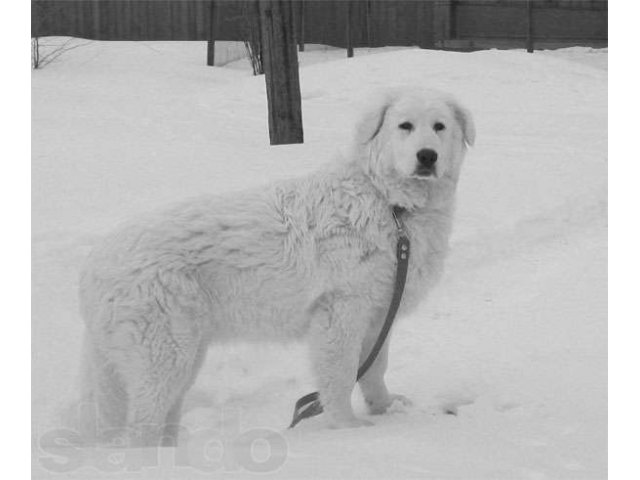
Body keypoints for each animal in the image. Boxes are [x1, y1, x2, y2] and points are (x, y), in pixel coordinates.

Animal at [76, 87, 476, 446]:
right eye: (405, 126)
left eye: (439, 126)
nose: (427, 156)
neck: (392, 206)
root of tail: (94, 266)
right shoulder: (340, 313)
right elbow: (341, 376)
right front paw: (348, 430)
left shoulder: (378, 316)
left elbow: (375, 369)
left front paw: (385, 410)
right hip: (164, 357)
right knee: (139, 429)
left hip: (183, 357)